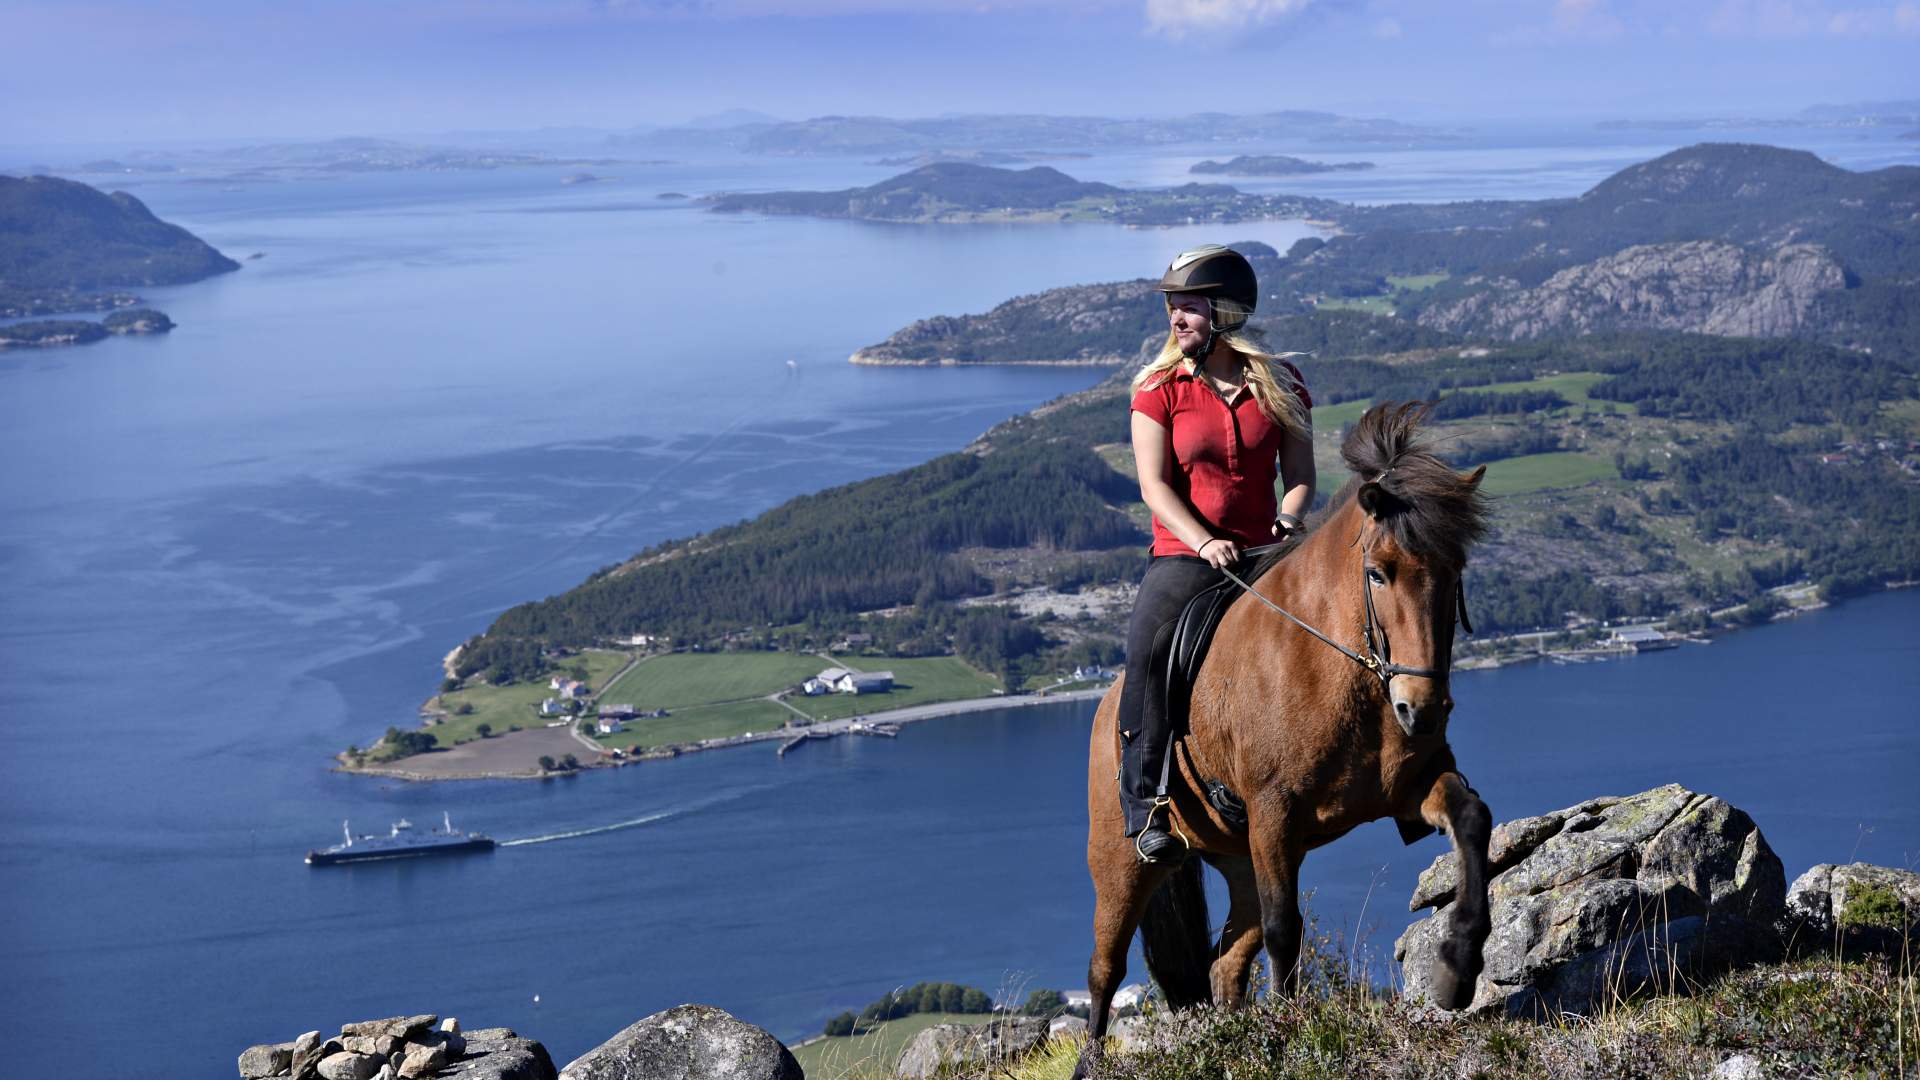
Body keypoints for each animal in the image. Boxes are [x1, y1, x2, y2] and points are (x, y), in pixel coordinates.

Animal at [1073, 401, 1494, 1079]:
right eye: (1378, 573)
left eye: (1453, 573)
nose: (1421, 709)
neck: (1337, 665)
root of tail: (1106, 707)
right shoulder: (1276, 813)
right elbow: (1284, 929)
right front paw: (1296, 1032)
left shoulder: (1411, 787)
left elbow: (1472, 820)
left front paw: (1458, 967)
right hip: (1120, 861)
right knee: (1104, 970)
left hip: (1238, 859)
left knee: (1224, 961)